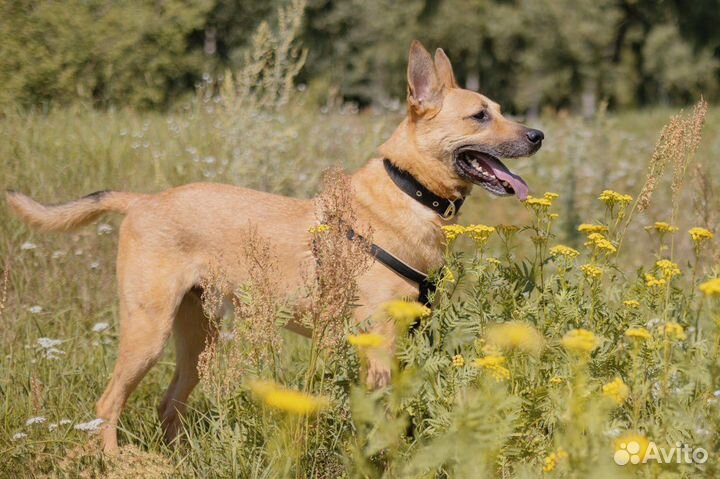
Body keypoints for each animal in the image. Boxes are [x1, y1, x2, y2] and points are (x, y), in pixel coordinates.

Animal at [5, 41, 544, 454]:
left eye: (499, 110)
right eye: (479, 115)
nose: (539, 135)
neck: (407, 190)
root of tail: (143, 199)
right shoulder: (380, 346)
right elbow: (384, 421)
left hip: (197, 338)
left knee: (168, 402)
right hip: (147, 331)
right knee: (107, 405)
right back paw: (117, 460)